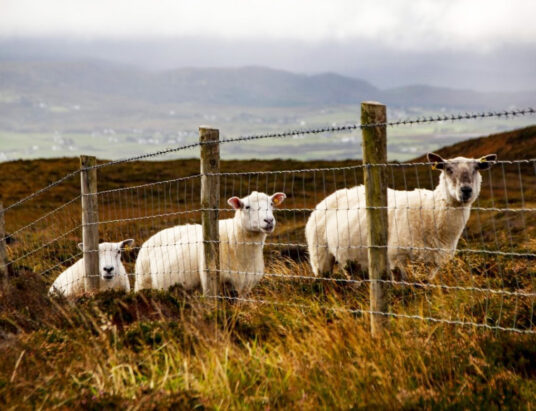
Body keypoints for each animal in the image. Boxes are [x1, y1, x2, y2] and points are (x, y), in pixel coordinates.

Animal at [134, 192, 284, 294]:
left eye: (271, 204)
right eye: (247, 207)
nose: (269, 220)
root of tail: (149, 239)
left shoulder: (245, 287)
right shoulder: (210, 281)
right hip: (143, 281)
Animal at [306, 154, 498, 280]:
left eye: (476, 168)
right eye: (448, 169)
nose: (466, 190)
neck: (431, 212)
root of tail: (326, 199)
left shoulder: (432, 264)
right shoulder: (396, 259)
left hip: (351, 261)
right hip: (320, 256)